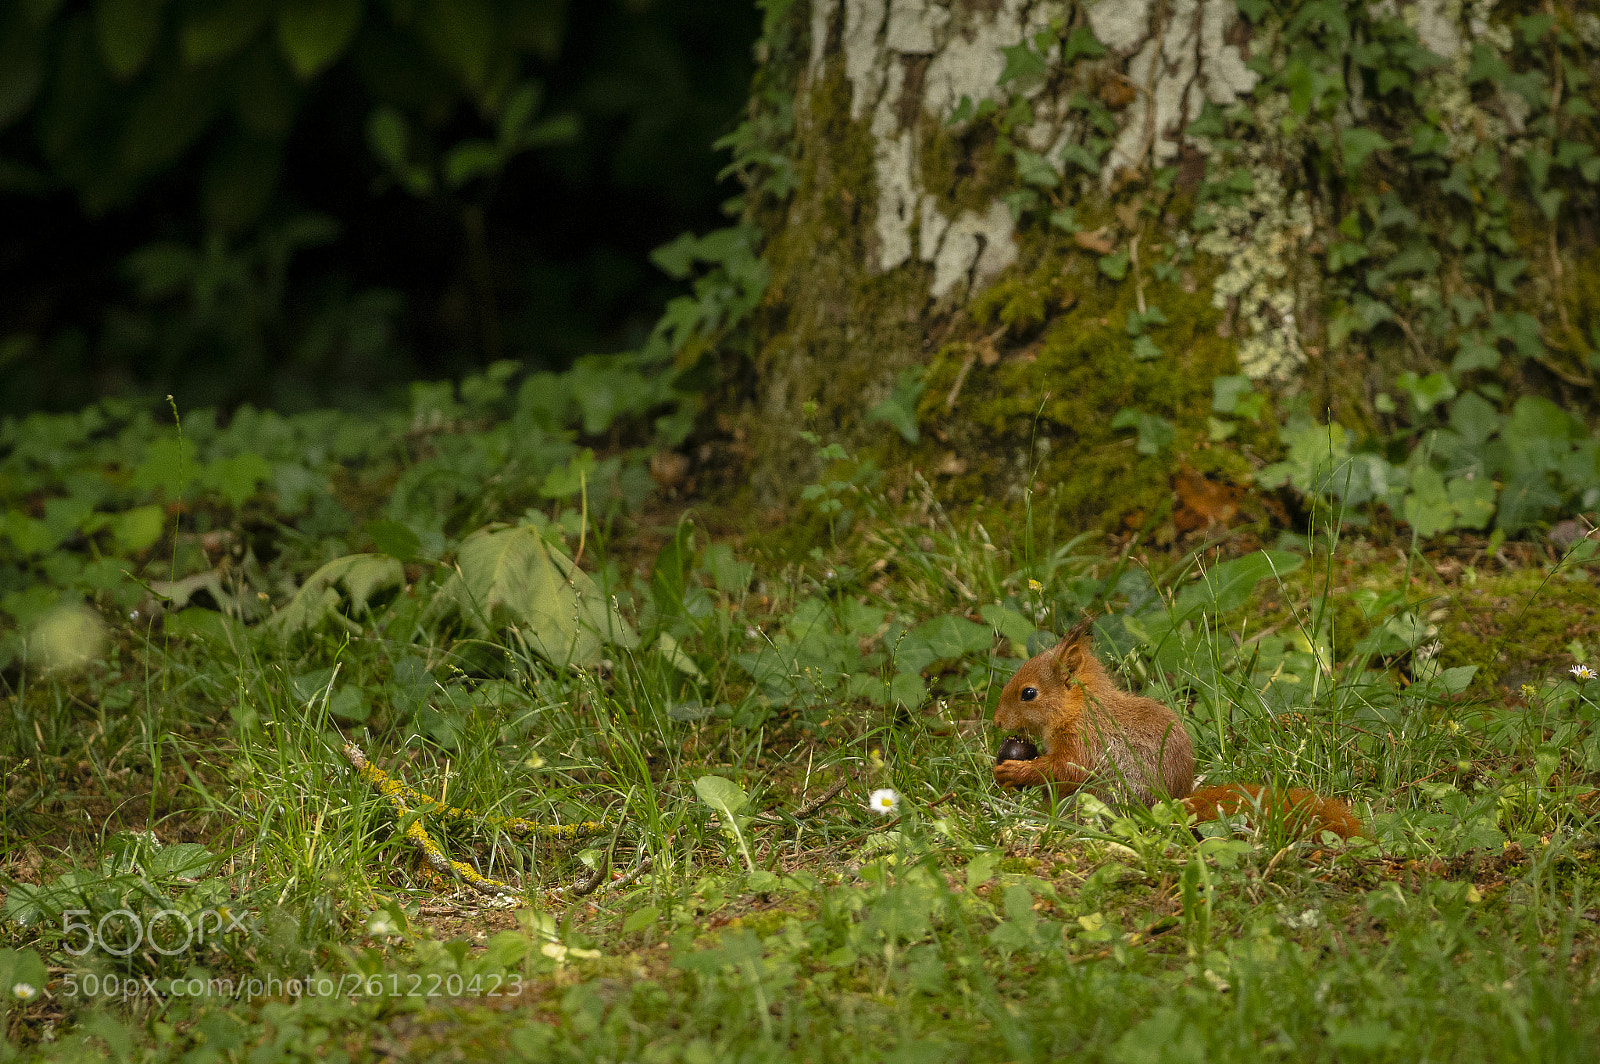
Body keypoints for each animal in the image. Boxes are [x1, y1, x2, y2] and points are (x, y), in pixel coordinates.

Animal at [992, 617, 1356, 844]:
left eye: (1028, 693)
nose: (996, 722)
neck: (1082, 708)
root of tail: (1175, 807)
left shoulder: (1086, 740)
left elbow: (1067, 768)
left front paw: (1015, 771)